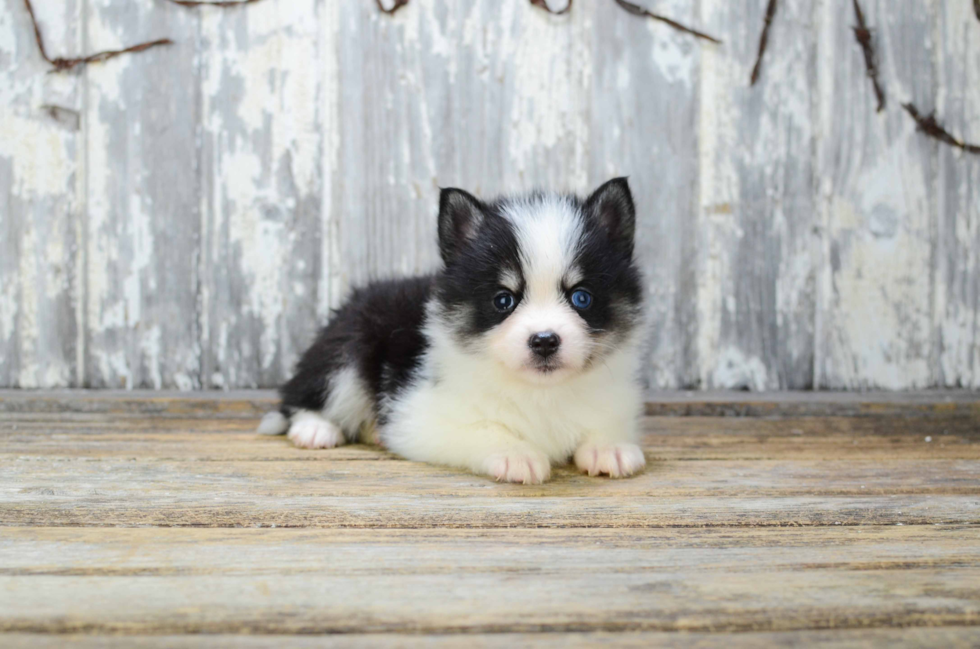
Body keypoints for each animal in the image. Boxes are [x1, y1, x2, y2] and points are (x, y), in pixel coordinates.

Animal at [256, 177, 648, 480]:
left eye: (582, 297)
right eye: (503, 300)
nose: (544, 341)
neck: (540, 392)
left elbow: (606, 421)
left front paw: (609, 447)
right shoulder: (423, 416)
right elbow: (483, 429)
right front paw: (517, 454)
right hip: (347, 347)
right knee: (305, 393)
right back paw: (315, 428)